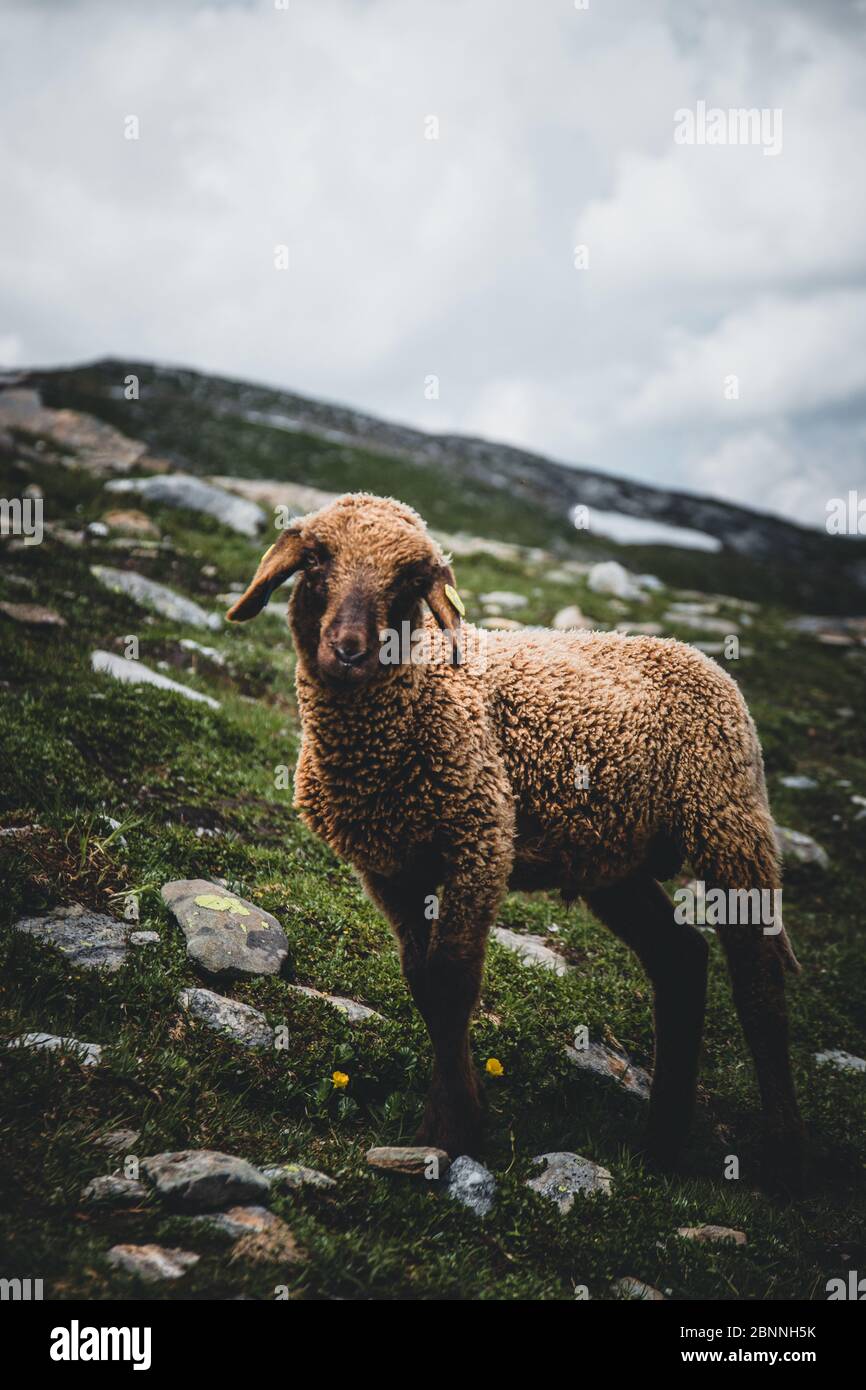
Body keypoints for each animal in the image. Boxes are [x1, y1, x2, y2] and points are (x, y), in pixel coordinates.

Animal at [225, 492, 806, 1195]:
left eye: (411, 583)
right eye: (315, 559)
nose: (348, 649)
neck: (418, 702)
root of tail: (697, 657)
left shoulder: (480, 838)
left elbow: (452, 979)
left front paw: (451, 1133)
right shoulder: (389, 869)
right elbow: (421, 980)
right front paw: (456, 1116)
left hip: (728, 825)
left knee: (758, 986)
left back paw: (783, 1157)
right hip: (611, 862)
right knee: (681, 959)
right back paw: (660, 1145)